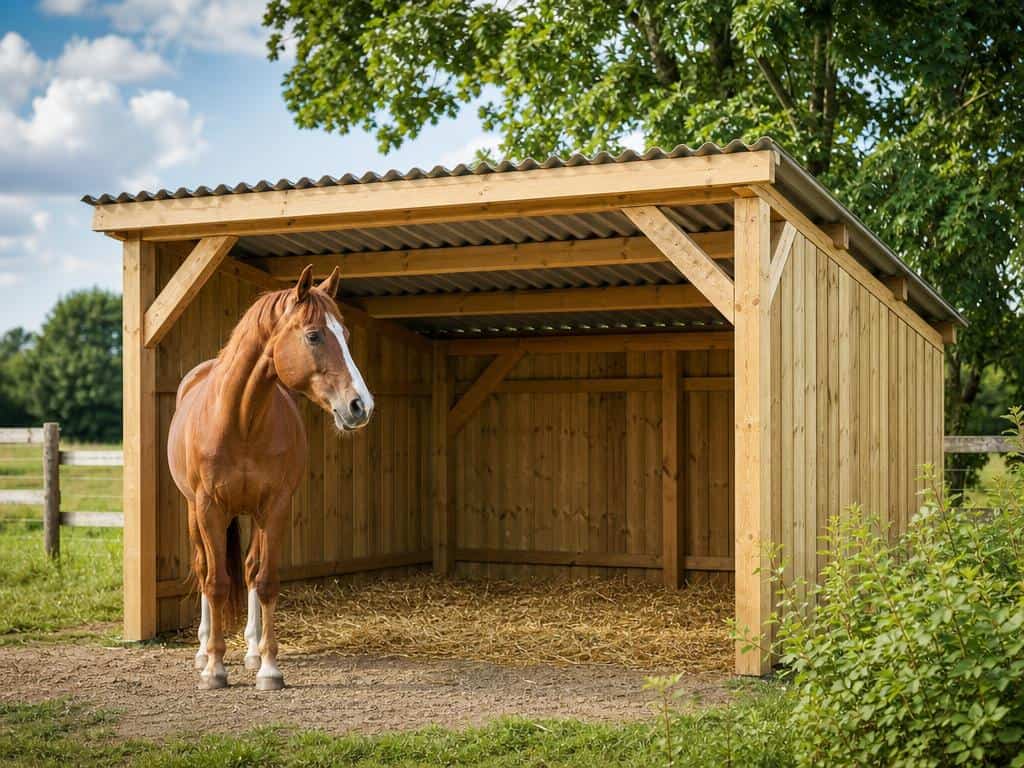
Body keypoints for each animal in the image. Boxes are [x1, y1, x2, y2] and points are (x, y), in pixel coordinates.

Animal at [167, 265, 374, 690]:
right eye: (313, 335)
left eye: (346, 335)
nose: (360, 406)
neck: (240, 421)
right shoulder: (210, 508)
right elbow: (215, 581)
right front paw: (215, 669)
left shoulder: (275, 507)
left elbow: (264, 580)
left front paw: (268, 667)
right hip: (194, 511)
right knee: (203, 569)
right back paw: (202, 651)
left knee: (247, 570)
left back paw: (249, 650)